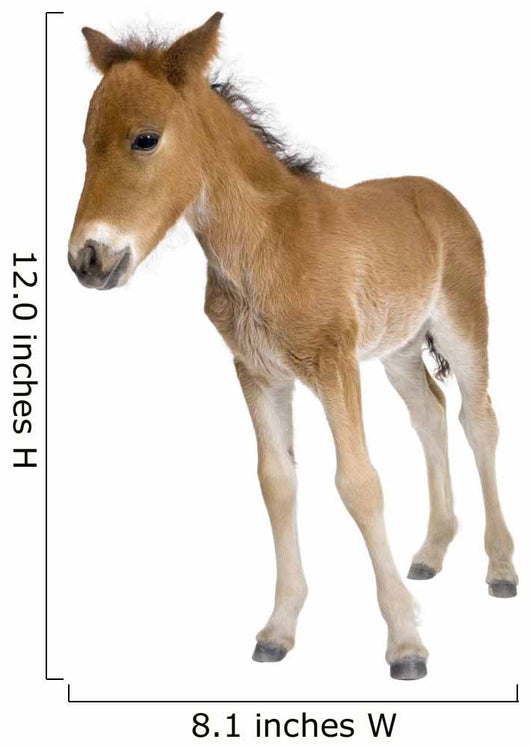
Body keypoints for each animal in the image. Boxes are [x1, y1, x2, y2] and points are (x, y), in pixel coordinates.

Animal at [68, 12, 518, 680]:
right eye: (84, 141)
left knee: (478, 420)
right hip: (398, 348)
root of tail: (437, 194)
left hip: (463, 322)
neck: (266, 244)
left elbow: (359, 483)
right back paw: (431, 552)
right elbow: (277, 482)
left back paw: (501, 567)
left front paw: (405, 644)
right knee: (430, 414)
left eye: (145, 139)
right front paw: (279, 630)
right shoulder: (259, 373)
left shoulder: (333, 364)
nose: (88, 260)